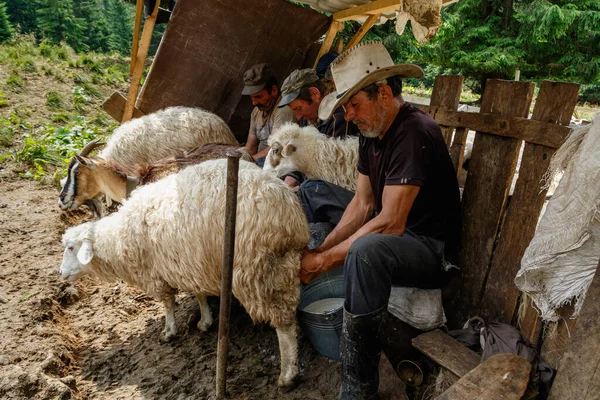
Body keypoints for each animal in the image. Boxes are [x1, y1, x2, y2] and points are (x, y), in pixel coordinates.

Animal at [59, 159, 310, 388]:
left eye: (71, 247)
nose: (61, 274)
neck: (117, 238)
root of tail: (287, 210)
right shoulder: (190, 264)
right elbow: (199, 295)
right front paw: (205, 321)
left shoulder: (156, 273)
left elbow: (168, 304)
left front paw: (169, 331)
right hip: (282, 264)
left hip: (258, 269)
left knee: (284, 322)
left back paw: (288, 375)